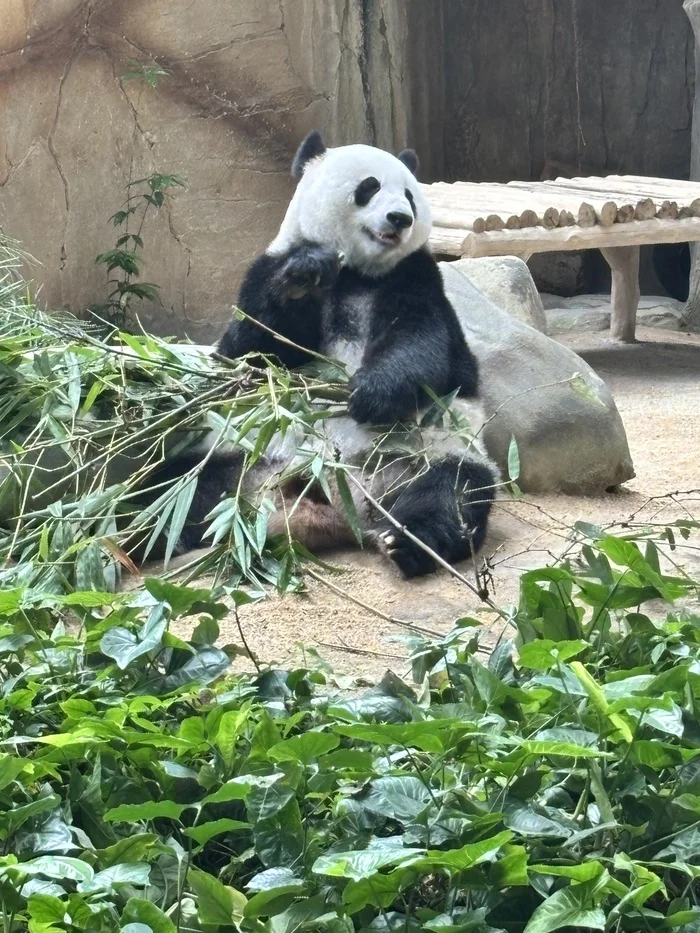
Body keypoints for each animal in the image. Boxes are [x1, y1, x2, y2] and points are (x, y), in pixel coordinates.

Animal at [152, 131, 499, 578]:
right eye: (369, 187)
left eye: (409, 194)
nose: (400, 219)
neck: (356, 273)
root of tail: (334, 507)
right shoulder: (270, 264)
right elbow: (251, 348)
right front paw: (304, 274)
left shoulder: (414, 276)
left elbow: (423, 343)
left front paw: (369, 394)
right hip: (240, 455)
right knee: (177, 488)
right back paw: (158, 537)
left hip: (427, 452)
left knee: (452, 491)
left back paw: (407, 542)